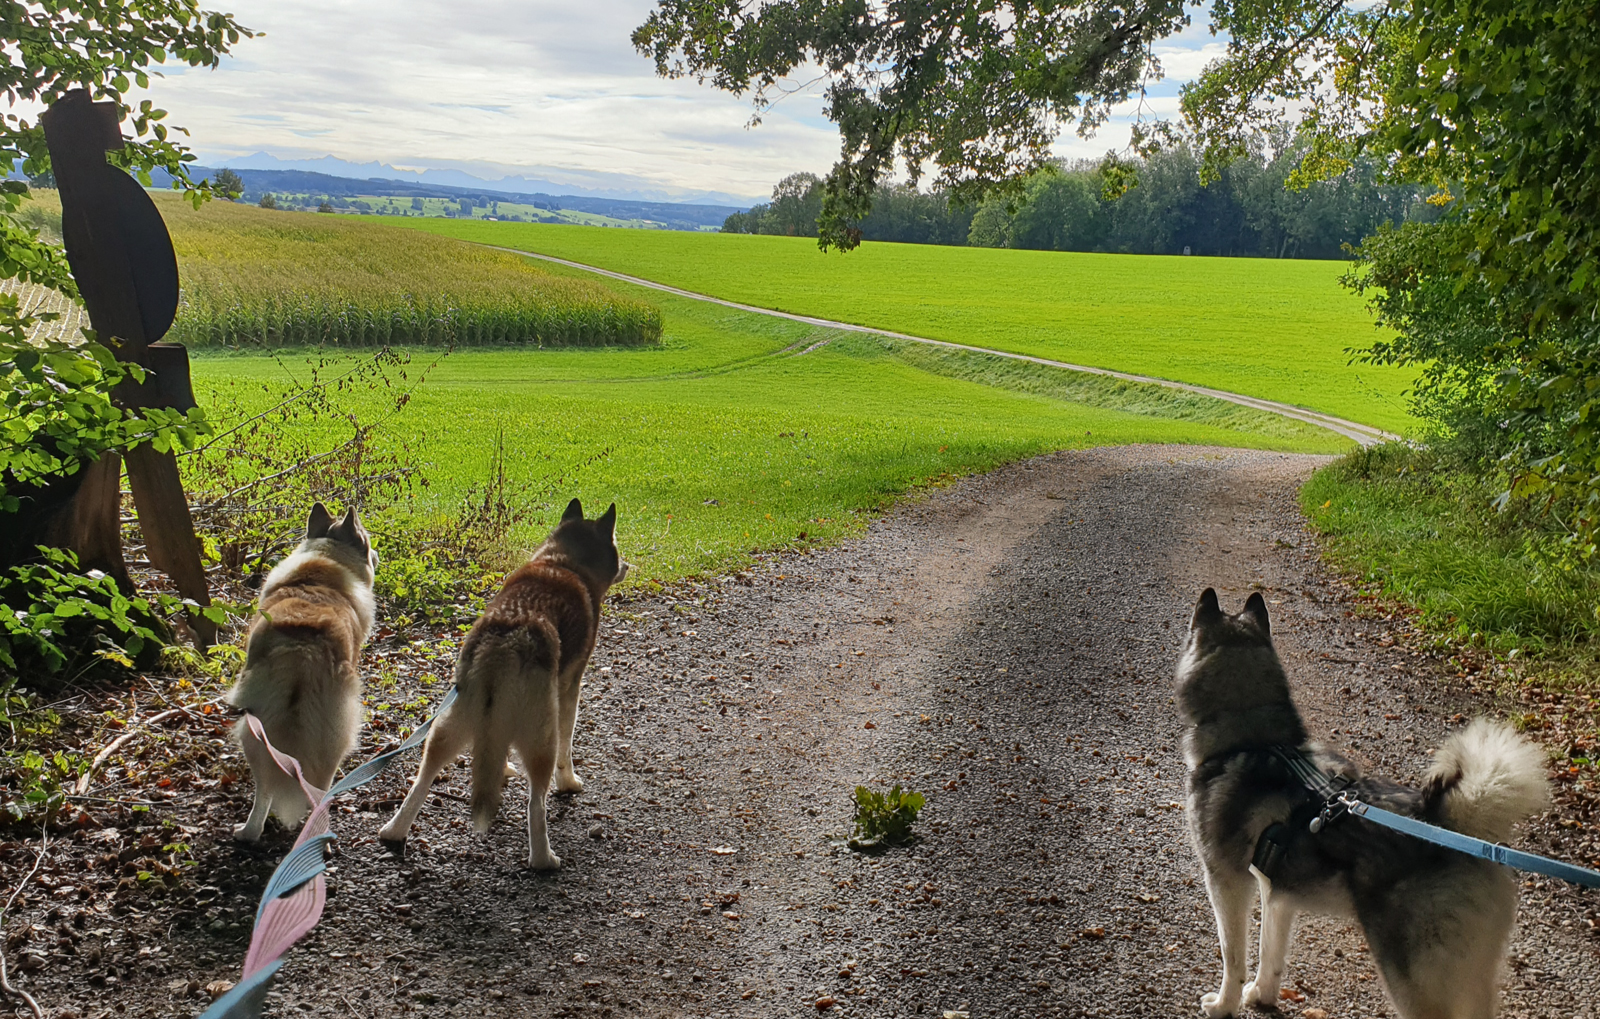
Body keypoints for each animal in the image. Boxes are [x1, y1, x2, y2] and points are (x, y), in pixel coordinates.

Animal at [226, 503, 378, 842]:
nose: (376, 554)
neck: (326, 559)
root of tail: (302, 648)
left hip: (254, 730)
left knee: (266, 786)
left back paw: (248, 832)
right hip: (334, 738)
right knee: (318, 793)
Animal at [379, 498, 629, 869]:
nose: (627, 565)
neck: (562, 562)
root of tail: (504, 642)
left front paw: (504, 766)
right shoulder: (569, 691)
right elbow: (567, 749)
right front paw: (569, 782)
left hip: (446, 727)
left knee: (422, 780)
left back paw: (395, 830)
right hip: (541, 737)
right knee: (536, 803)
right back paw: (544, 859)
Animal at [1179, 588, 1549, 1019]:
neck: (1253, 740)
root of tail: (1450, 822)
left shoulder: (1227, 883)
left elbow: (1232, 957)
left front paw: (1224, 1004)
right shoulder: (1277, 894)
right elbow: (1271, 955)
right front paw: (1262, 996)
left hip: (1415, 982)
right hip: (1471, 977)